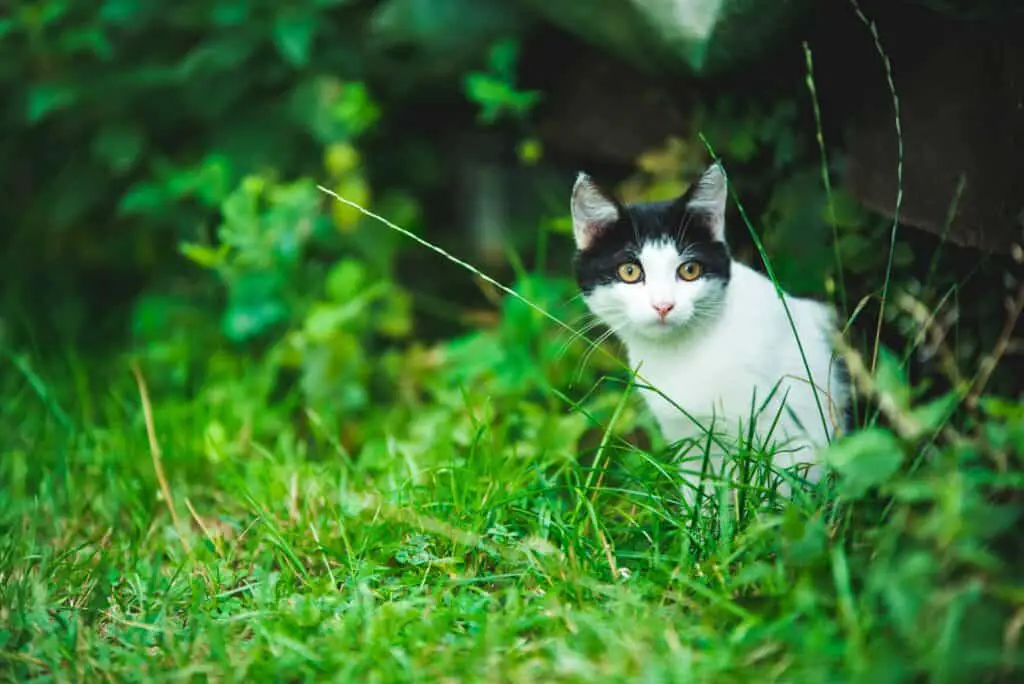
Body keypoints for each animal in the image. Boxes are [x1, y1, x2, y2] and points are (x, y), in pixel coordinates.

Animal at [569, 160, 847, 501]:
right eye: (630, 271)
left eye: (690, 270)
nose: (663, 305)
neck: (683, 353)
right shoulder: (689, 439)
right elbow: (701, 493)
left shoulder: (793, 433)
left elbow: (777, 494)